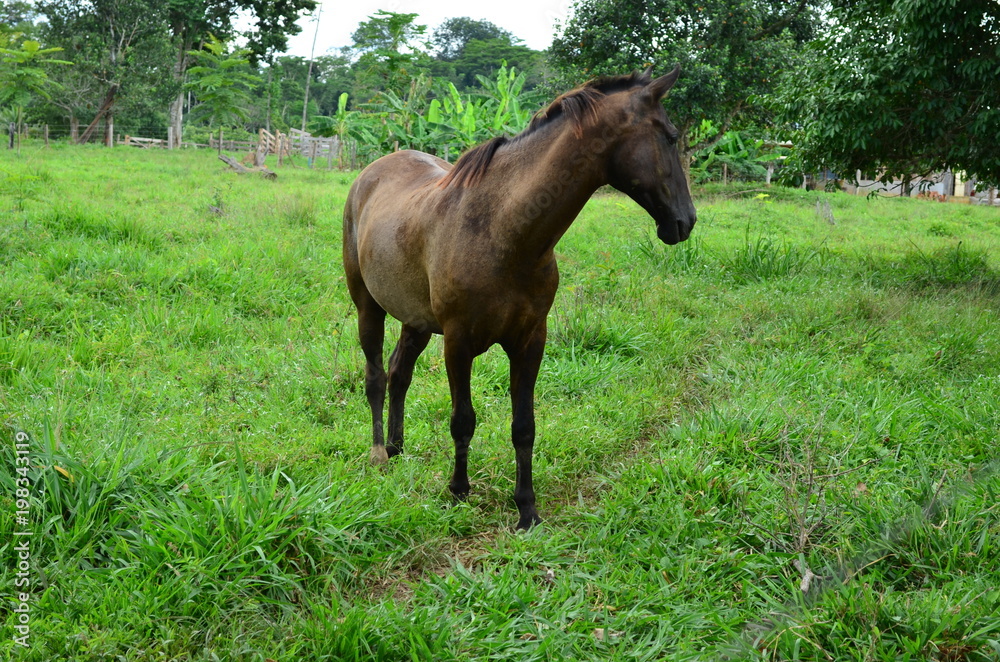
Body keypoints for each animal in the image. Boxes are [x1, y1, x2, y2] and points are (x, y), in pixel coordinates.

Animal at [342, 66, 697, 529]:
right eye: (670, 137)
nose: (686, 221)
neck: (503, 229)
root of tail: (374, 169)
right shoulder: (458, 343)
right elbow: (463, 420)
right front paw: (458, 491)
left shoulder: (530, 341)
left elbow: (523, 425)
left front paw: (526, 508)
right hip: (368, 307)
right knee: (376, 378)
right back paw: (379, 453)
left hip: (415, 321)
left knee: (400, 372)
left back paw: (397, 447)